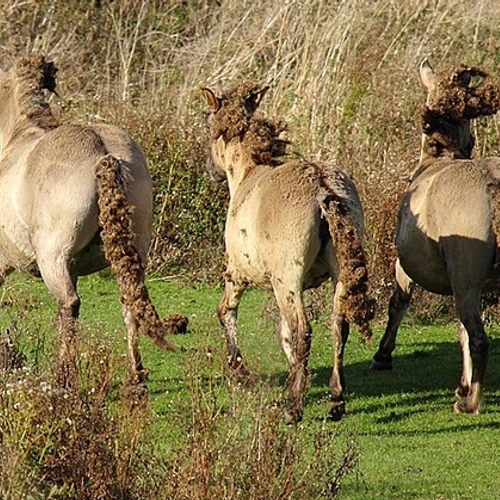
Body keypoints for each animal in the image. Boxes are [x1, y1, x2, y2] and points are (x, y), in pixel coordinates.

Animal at [0, 54, 188, 388]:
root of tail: (104, 154)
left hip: (53, 258)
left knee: (69, 305)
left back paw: (64, 377)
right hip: (134, 252)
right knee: (128, 303)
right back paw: (135, 373)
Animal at [201, 82, 374, 422]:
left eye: (211, 128)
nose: (210, 169)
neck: (248, 173)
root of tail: (323, 189)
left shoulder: (238, 274)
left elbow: (227, 311)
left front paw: (240, 372)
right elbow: (283, 335)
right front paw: (299, 378)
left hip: (287, 279)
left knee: (303, 330)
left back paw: (294, 407)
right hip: (337, 276)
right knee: (338, 326)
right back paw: (335, 400)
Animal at [370, 58, 500, 414]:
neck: (438, 157)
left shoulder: (407, 266)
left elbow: (398, 303)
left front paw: (382, 355)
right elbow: (459, 330)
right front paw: (462, 383)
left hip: (465, 276)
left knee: (479, 338)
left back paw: (471, 403)